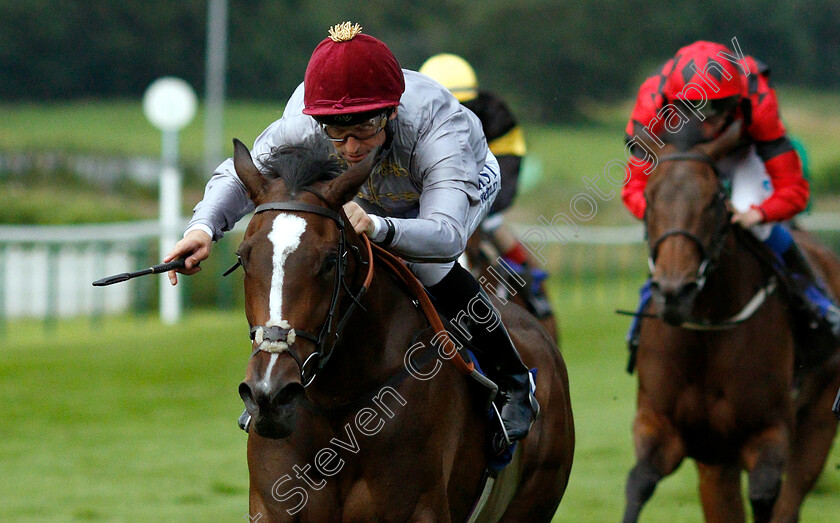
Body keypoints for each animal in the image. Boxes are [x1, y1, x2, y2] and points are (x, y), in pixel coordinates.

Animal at [226, 140, 576, 523]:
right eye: (243, 257)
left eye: (330, 262)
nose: (270, 394)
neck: (336, 405)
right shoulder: (272, 506)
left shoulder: (418, 508)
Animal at [620, 124, 840, 523]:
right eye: (649, 198)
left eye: (713, 201)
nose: (674, 291)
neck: (708, 333)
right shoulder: (660, 425)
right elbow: (638, 484)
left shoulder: (769, 433)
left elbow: (766, 494)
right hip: (716, 456)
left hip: (819, 418)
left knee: (792, 495)